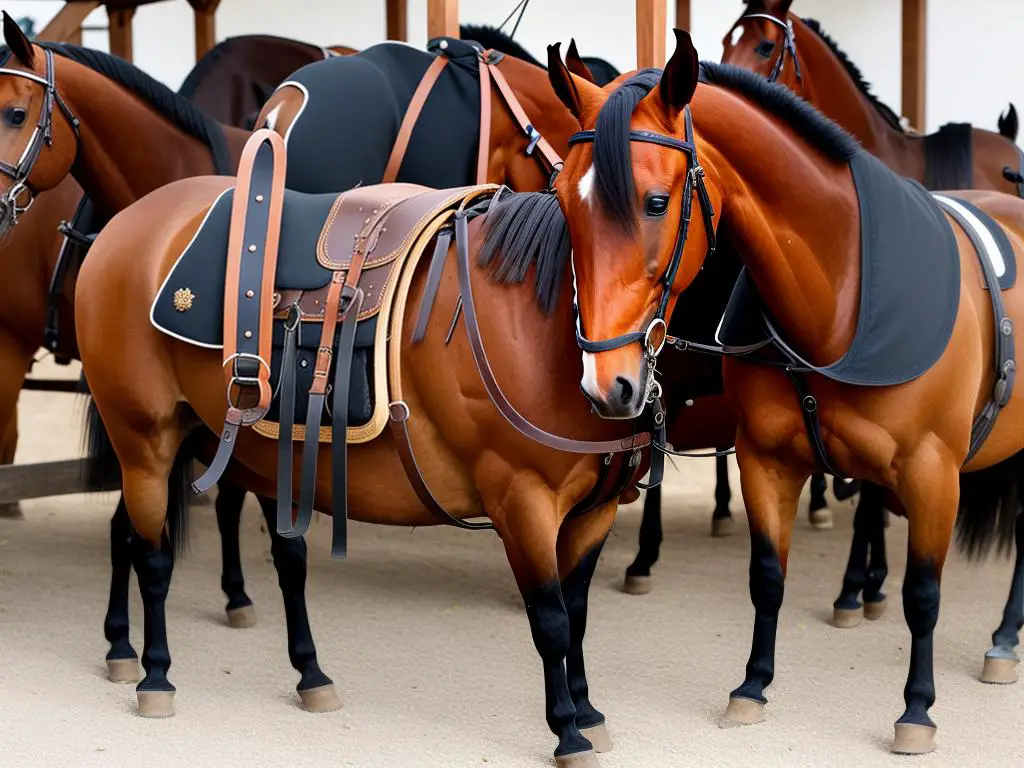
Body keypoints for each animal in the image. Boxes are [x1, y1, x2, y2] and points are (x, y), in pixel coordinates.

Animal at [552, 31, 1024, 757]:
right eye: (562, 201)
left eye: (654, 202)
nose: (608, 385)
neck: (842, 305)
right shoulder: (767, 460)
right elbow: (767, 576)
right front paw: (752, 686)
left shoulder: (930, 473)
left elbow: (922, 593)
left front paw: (917, 709)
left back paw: (1002, 636)